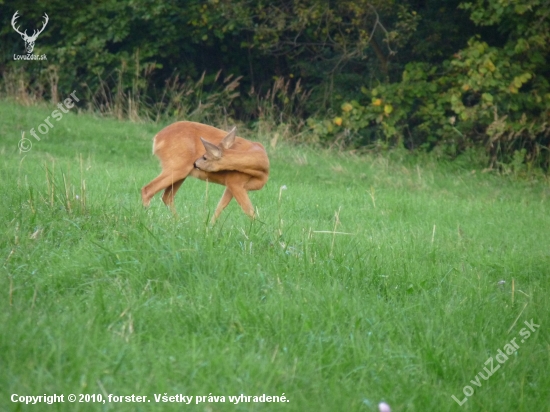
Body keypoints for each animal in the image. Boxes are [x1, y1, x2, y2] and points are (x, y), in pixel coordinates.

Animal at [142, 121, 272, 222]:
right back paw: (147, 220)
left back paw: (179, 222)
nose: (195, 164)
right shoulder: (234, 182)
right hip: (176, 166)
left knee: (167, 197)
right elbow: (249, 210)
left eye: (205, 157)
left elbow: (220, 207)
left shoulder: (232, 186)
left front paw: (209, 227)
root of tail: (157, 138)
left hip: (181, 172)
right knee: (148, 190)